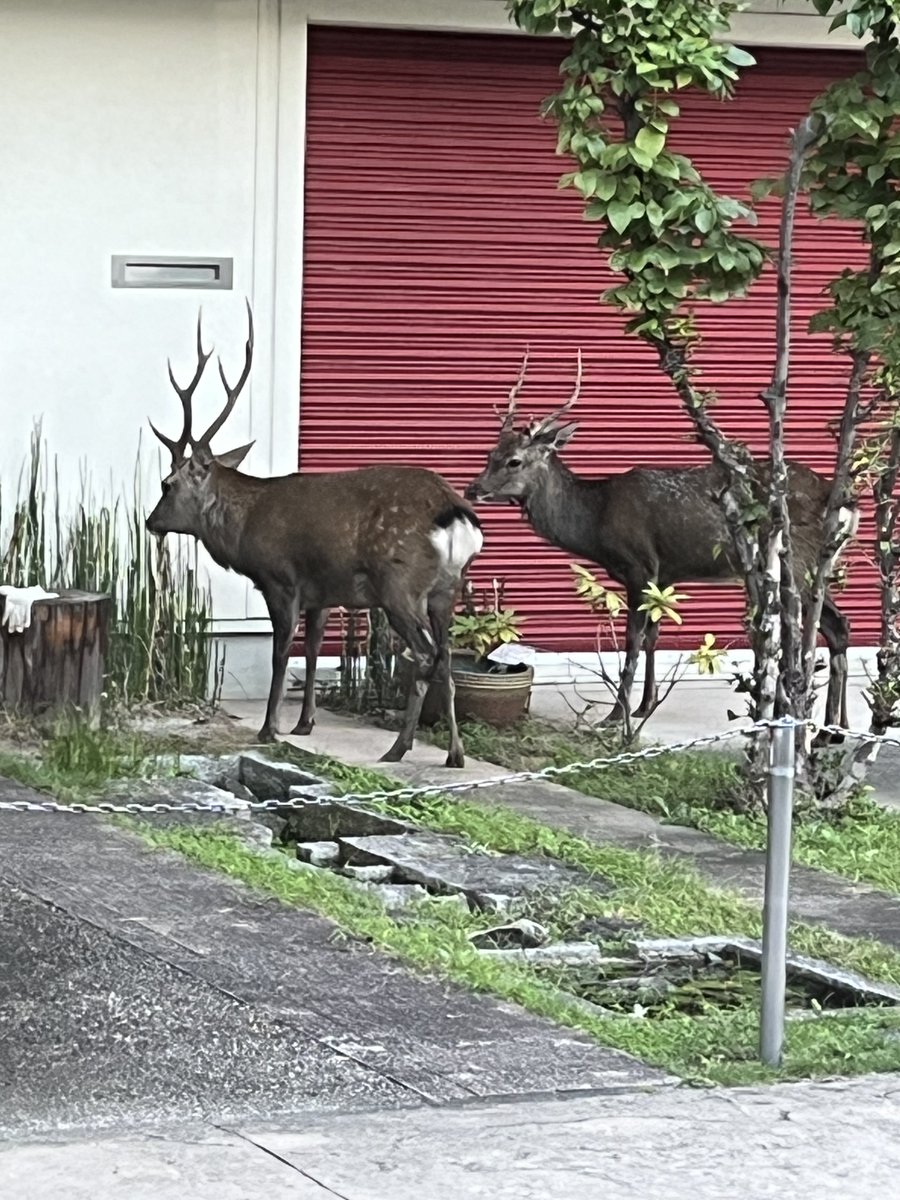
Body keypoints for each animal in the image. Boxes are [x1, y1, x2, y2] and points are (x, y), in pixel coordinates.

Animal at [145, 304, 483, 767]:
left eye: (167, 484)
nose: (150, 522)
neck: (244, 527)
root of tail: (454, 513)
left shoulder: (281, 579)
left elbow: (281, 651)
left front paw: (269, 728)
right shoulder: (323, 590)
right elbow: (311, 649)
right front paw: (304, 723)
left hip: (400, 585)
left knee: (425, 655)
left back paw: (399, 747)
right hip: (445, 590)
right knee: (448, 658)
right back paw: (454, 753)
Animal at [465, 351, 857, 730]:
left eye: (514, 461)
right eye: (489, 454)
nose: (473, 489)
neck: (595, 518)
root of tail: (846, 503)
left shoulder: (640, 564)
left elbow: (633, 640)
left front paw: (616, 715)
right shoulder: (664, 572)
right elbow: (653, 634)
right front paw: (644, 706)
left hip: (798, 560)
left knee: (822, 629)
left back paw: (820, 726)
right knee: (834, 627)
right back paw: (834, 727)